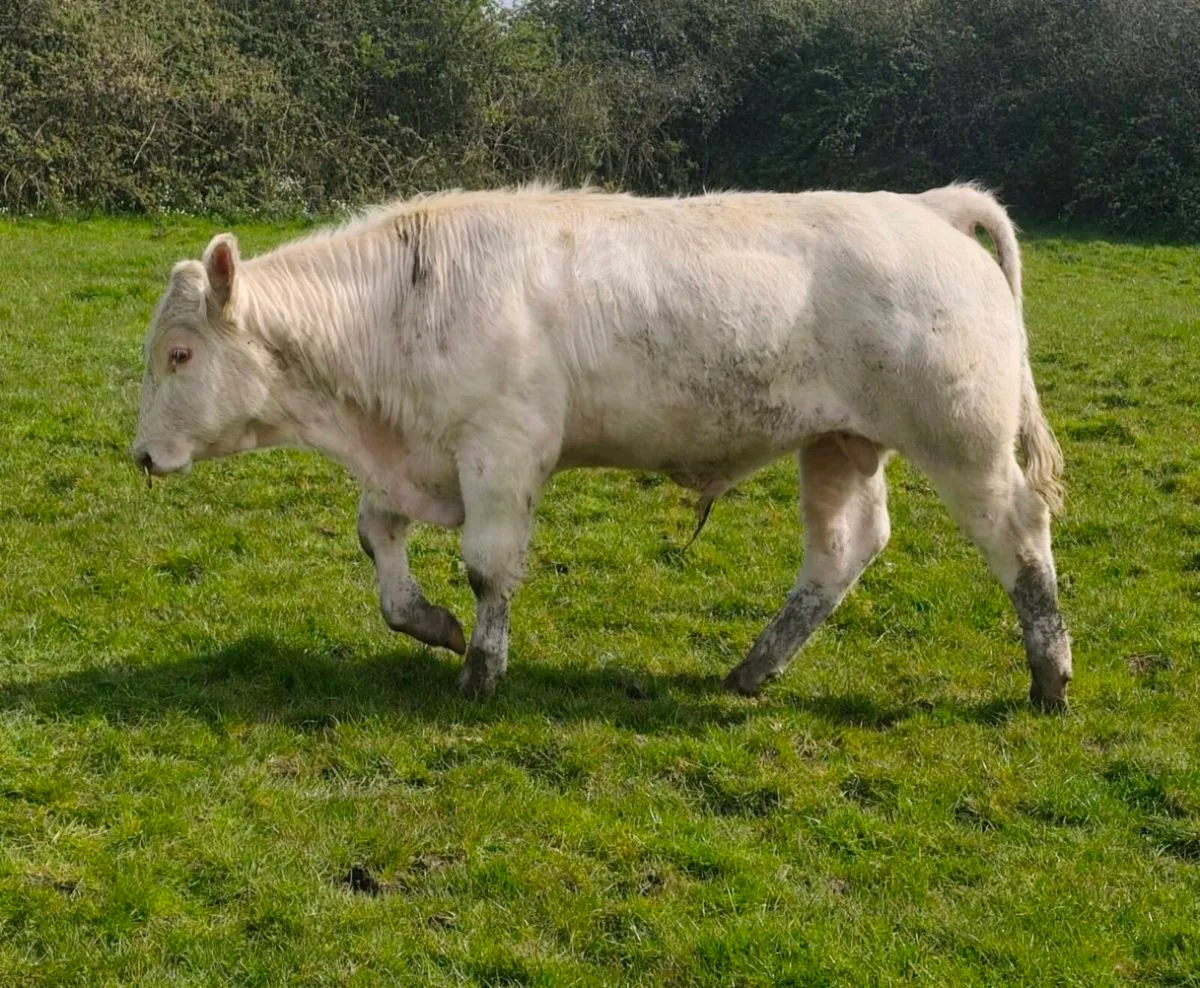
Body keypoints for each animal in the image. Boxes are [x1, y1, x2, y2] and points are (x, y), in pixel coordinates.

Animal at [132, 184, 1072, 707]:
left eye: (179, 354)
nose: (141, 455)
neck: (404, 301)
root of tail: (925, 209)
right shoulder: (415, 457)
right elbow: (379, 543)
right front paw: (433, 625)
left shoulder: (502, 451)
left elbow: (488, 567)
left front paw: (480, 672)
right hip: (840, 444)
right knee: (843, 548)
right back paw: (753, 669)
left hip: (964, 441)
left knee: (1020, 536)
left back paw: (1050, 677)